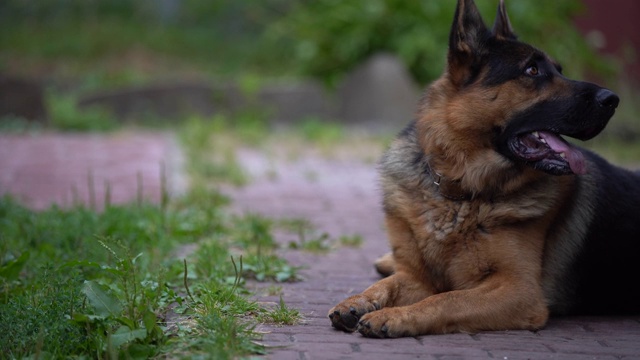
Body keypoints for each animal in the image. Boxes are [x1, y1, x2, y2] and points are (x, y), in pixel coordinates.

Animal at [330, 0, 640, 338]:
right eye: (532, 70)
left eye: (558, 70)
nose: (613, 99)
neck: (461, 191)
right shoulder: (418, 278)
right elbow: (385, 286)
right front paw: (356, 301)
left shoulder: (518, 291)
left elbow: (446, 300)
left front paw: (394, 316)